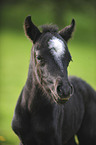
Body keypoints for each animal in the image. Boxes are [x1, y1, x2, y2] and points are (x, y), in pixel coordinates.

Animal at [11, 16, 96, 145]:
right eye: (39, 57)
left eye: (69, 59)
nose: (65, 90)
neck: (32, 110)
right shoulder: (23, 140)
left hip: (88, 136)